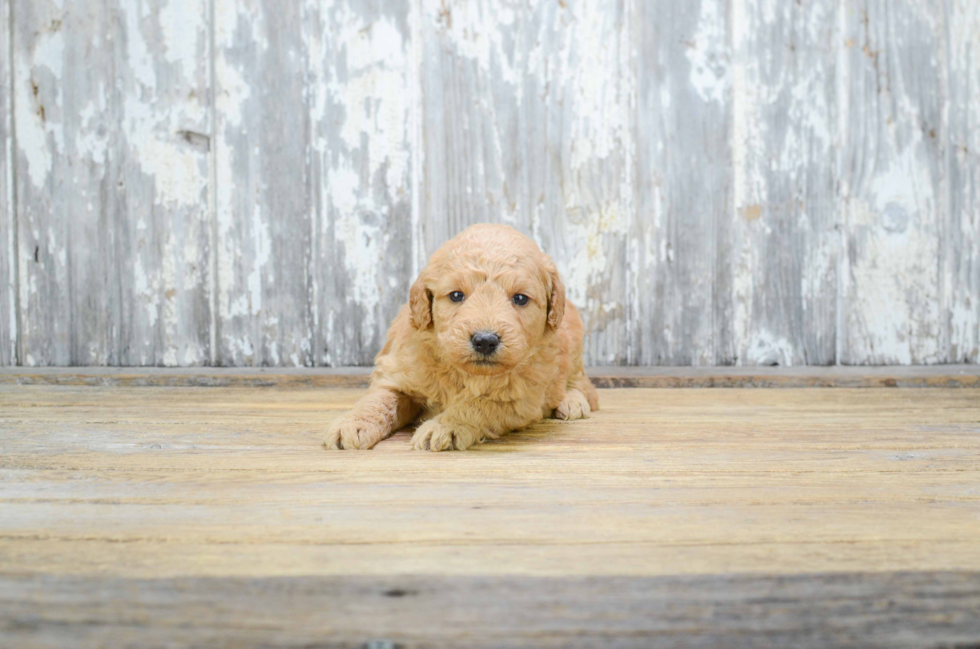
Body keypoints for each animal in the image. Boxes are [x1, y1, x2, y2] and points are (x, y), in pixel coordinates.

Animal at [326, 223, 596, 450]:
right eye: (456, 295)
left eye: (520, 298)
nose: (485, 341)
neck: (463, 372)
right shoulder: (398, 371)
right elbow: (379, 399)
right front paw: (354, 423)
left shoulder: (519, 398)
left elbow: (479, 405)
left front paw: (445, 426)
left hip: (573, 346)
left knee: (582, 384)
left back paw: (572, 401)